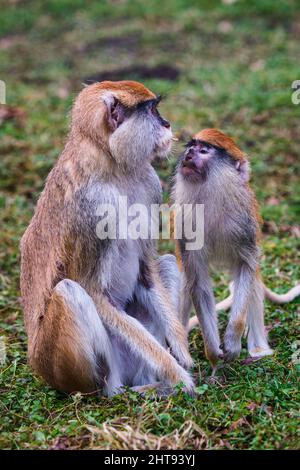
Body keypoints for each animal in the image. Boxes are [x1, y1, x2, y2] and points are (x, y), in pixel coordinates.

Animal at [21, 81, 195, 396]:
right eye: (152, 110)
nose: (167, 124)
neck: (111, 166)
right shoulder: (92, 210)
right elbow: (94, 293)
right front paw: (179, 375)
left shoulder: (150, 184)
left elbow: (147, 271)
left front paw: (181, 352)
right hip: (69, 367)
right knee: (69, 291)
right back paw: (118, 392)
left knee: (165, 263)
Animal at [173, 130, 300, 370]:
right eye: (192, 146)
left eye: (204, 150)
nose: (189, 153)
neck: (212, 197)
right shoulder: (186, 227)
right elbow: (198, 283)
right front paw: (213, 351)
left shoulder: (245, 224)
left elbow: (246, 266)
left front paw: (232, 341)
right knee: (185, 282)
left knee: (254, 283)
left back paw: (258, 350)